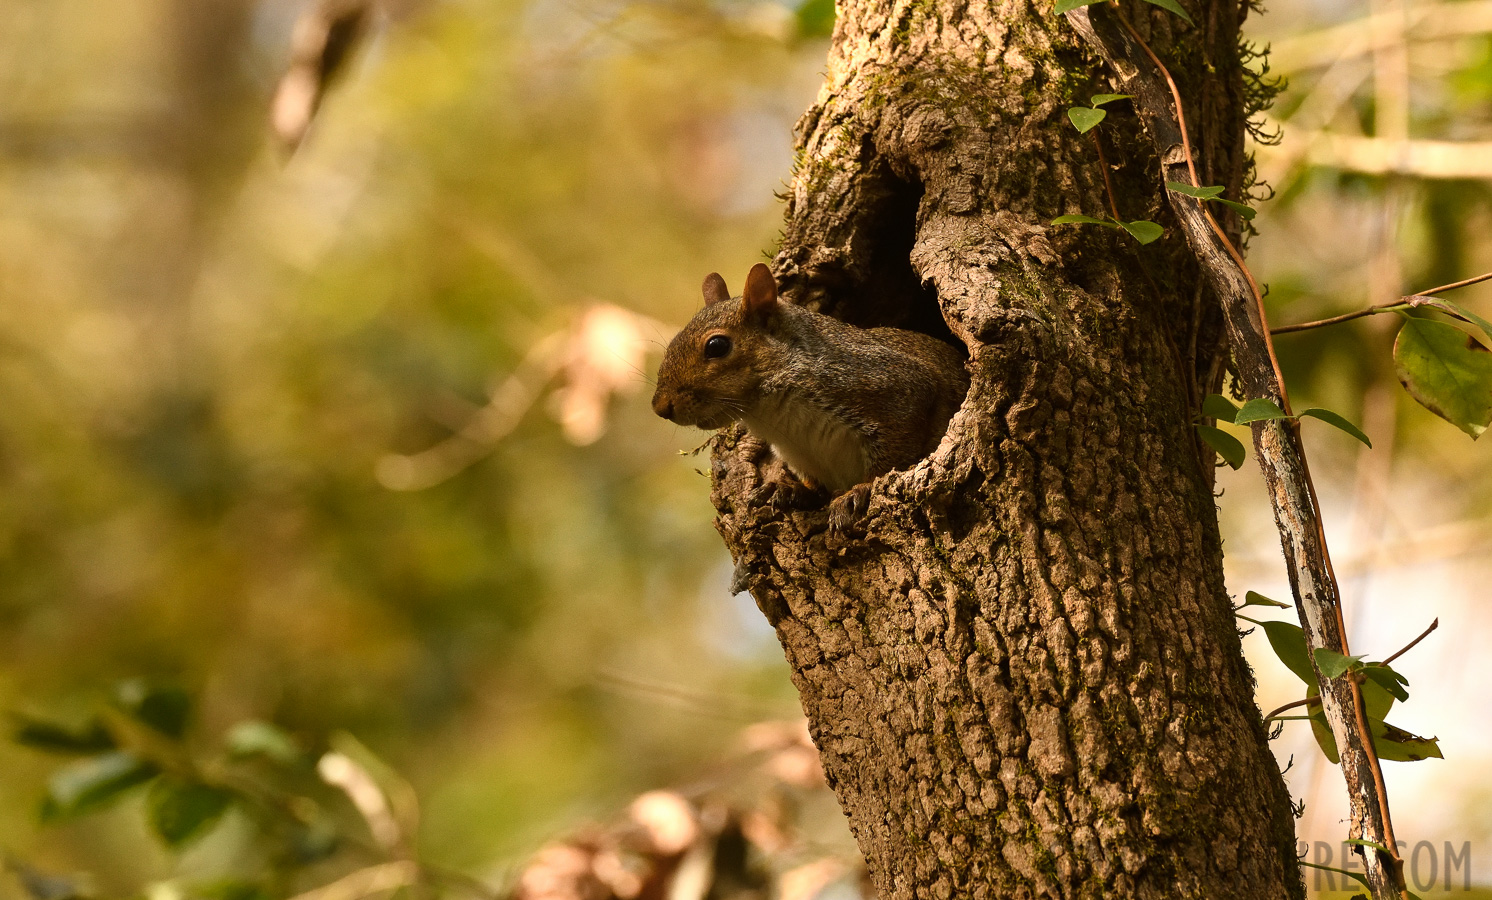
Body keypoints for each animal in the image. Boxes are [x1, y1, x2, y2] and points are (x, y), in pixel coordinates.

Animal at [650, 261, 966, 531]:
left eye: (717, 346)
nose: (660, 407)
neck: (772, 414)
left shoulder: (894, 391)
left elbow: (891, 459)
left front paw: (859, 491)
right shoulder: (799, 454)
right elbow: (814, 487)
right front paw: (788, 489)